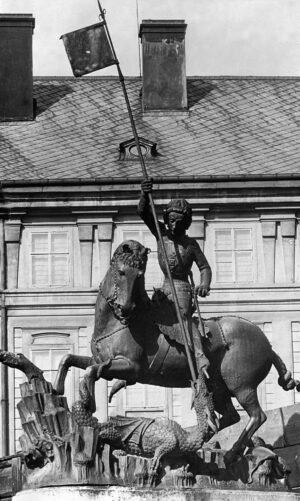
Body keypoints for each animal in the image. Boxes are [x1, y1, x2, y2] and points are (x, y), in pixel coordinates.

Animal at [53, 240, 298, 462]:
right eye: (121, 272)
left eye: (139, 275)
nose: (125, 308)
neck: (119, 324)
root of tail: (267, 344)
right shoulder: (104, 361)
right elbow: (69, 359)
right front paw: (57, 388)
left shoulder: (132, 368)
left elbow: (91, 372)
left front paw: (90, 402)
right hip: (217, 387)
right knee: (229, 416)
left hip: (241, 386)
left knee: (257, 416)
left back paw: (229, 453)